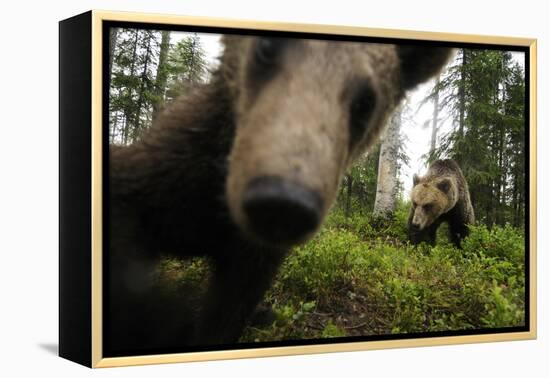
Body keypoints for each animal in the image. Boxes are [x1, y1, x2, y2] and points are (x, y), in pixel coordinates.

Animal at [108, 33, 452, 354]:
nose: (283, 202)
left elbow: (228, 312)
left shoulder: (253, 258)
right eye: (267, 47)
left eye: (366, 101)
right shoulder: (168, 174)